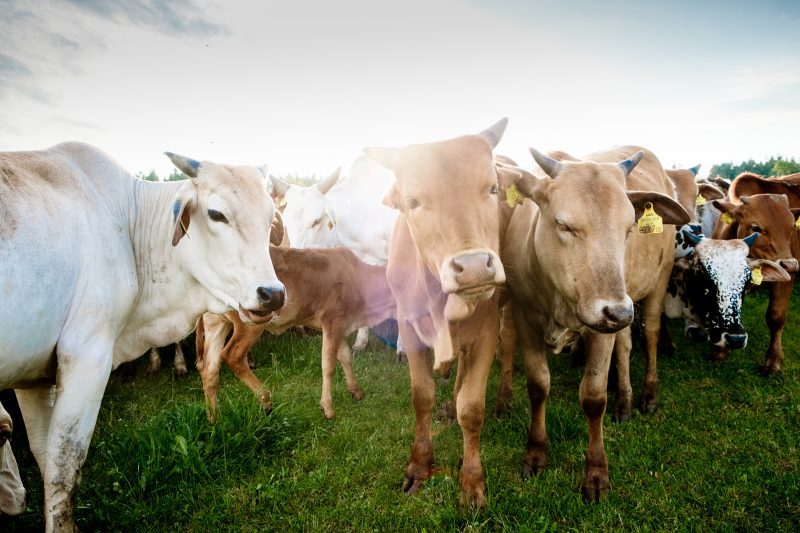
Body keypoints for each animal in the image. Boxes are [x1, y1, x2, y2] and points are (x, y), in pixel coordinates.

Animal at [0, 142, 285, 531]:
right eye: (216, 214)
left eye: (270, 217)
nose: (273, 294)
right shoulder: (87, 359)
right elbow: (64, 471)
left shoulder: (32, 379)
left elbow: (46, 461)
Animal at [195, 245, 397, 420]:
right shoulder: (333, 319)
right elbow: (328, 365)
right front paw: (328, 408)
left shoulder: (339, 324)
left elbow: (345, 357)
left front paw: (355, 391)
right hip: (250, 323)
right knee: (232, 356)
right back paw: (266, 400)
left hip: (215, 323)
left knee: (209, 369)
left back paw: (214, 419)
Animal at [362, 118, 508, 508]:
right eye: (412, 201)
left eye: (492, 188)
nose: (474, 268)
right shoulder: (410, 330)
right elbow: (422, 395)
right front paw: (420, 464)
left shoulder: (487, 332)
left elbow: (471, 408)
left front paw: (471, 480)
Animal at [500, 145, 690, 501]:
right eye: (564, 225)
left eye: (629, 228)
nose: (618, 312)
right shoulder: (524, 316)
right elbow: (538, 386)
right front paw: (535, 452)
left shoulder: (601, 329)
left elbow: (592, 397)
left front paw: (597, 473)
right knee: (626, 346)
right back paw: (624, 400)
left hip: (657, 283)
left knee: (651, 334)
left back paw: (648, 394)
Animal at [711, 171, 800, 374]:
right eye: (756, 228)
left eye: (792, 227)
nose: (790, 265)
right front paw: (721, 351)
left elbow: (776, 316)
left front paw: (773, 360)